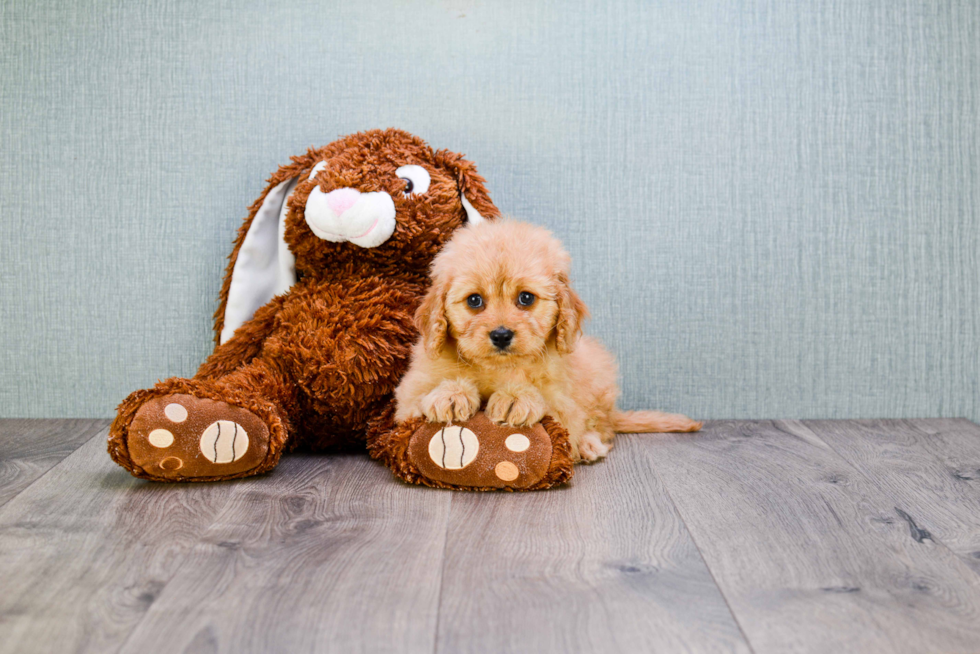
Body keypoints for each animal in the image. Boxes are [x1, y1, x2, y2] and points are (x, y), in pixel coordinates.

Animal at [394, 219, 700, 462]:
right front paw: (451, 394)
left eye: (526, 298)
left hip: (598, 381)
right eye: (474, 300)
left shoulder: (565, 402)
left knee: (601, 426)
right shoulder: (406, 400)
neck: (497, 369)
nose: (501, 335)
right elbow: (418, 399)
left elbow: (554, 410)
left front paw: (516, 397)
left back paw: (589, 445)